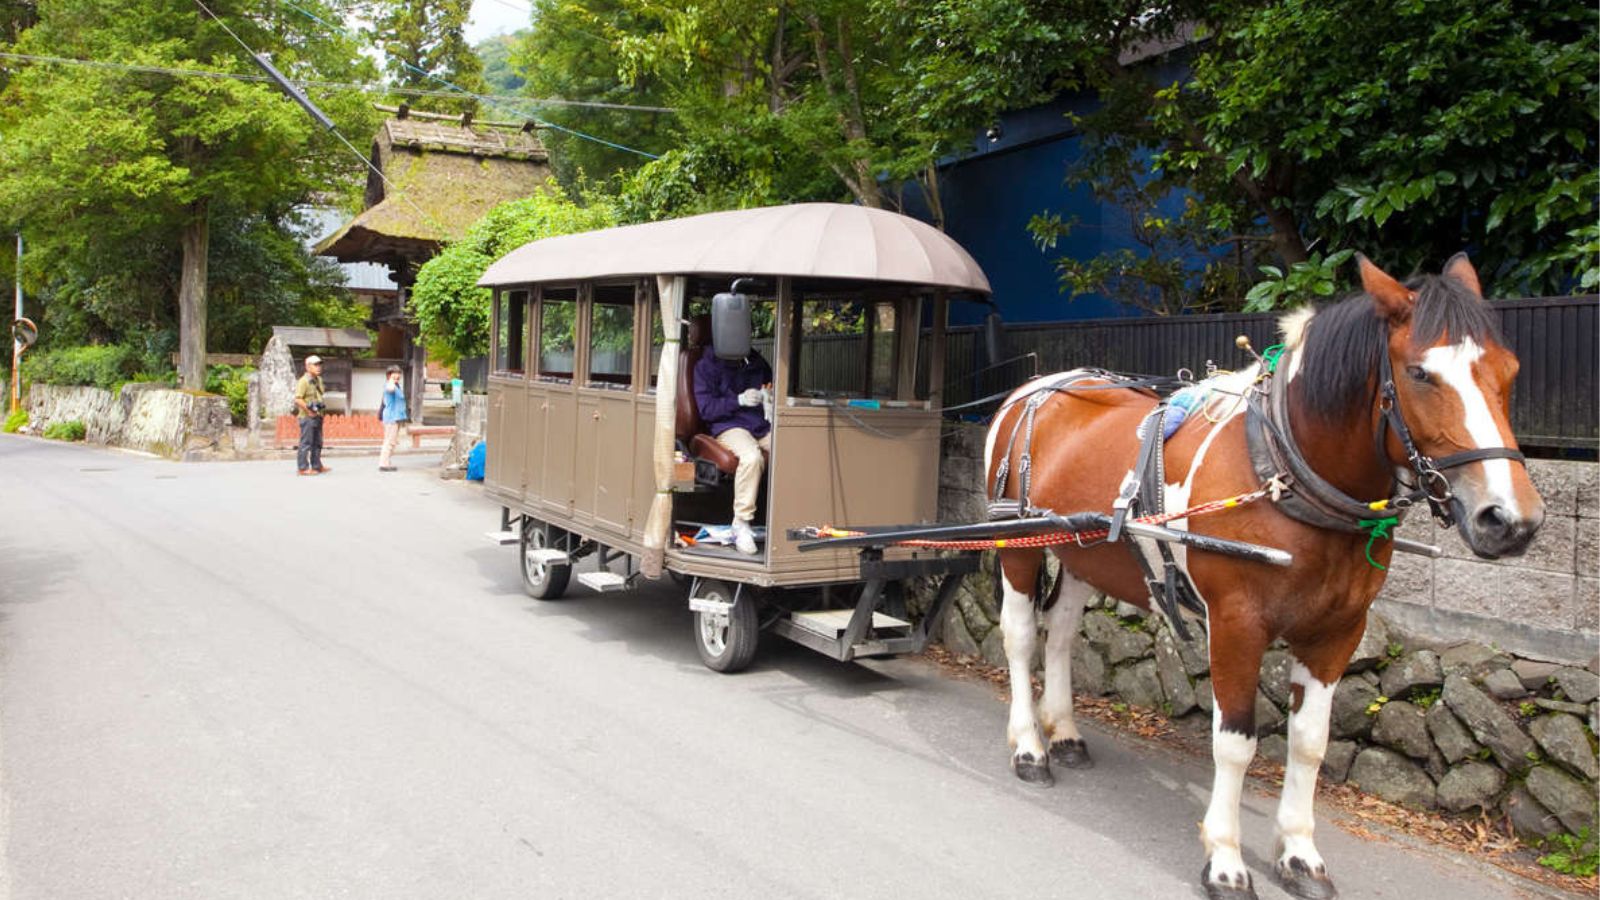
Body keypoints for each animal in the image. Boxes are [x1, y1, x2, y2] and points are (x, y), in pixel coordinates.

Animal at [979, 253, 1542, 896]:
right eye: (1420, 373)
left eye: (1509, 369)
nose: (1511, 519)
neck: (1287, 474)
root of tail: (1031, 389)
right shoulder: (1236, 624)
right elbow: (1236, 744)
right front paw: (1225, 858)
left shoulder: (1338, 632)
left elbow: (1310, 744)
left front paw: (1299, 852)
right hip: (1017, 543)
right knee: (1022, 637)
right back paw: (1029, 747)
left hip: (1080, 549)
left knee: (1062, 634)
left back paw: (1066, 733)